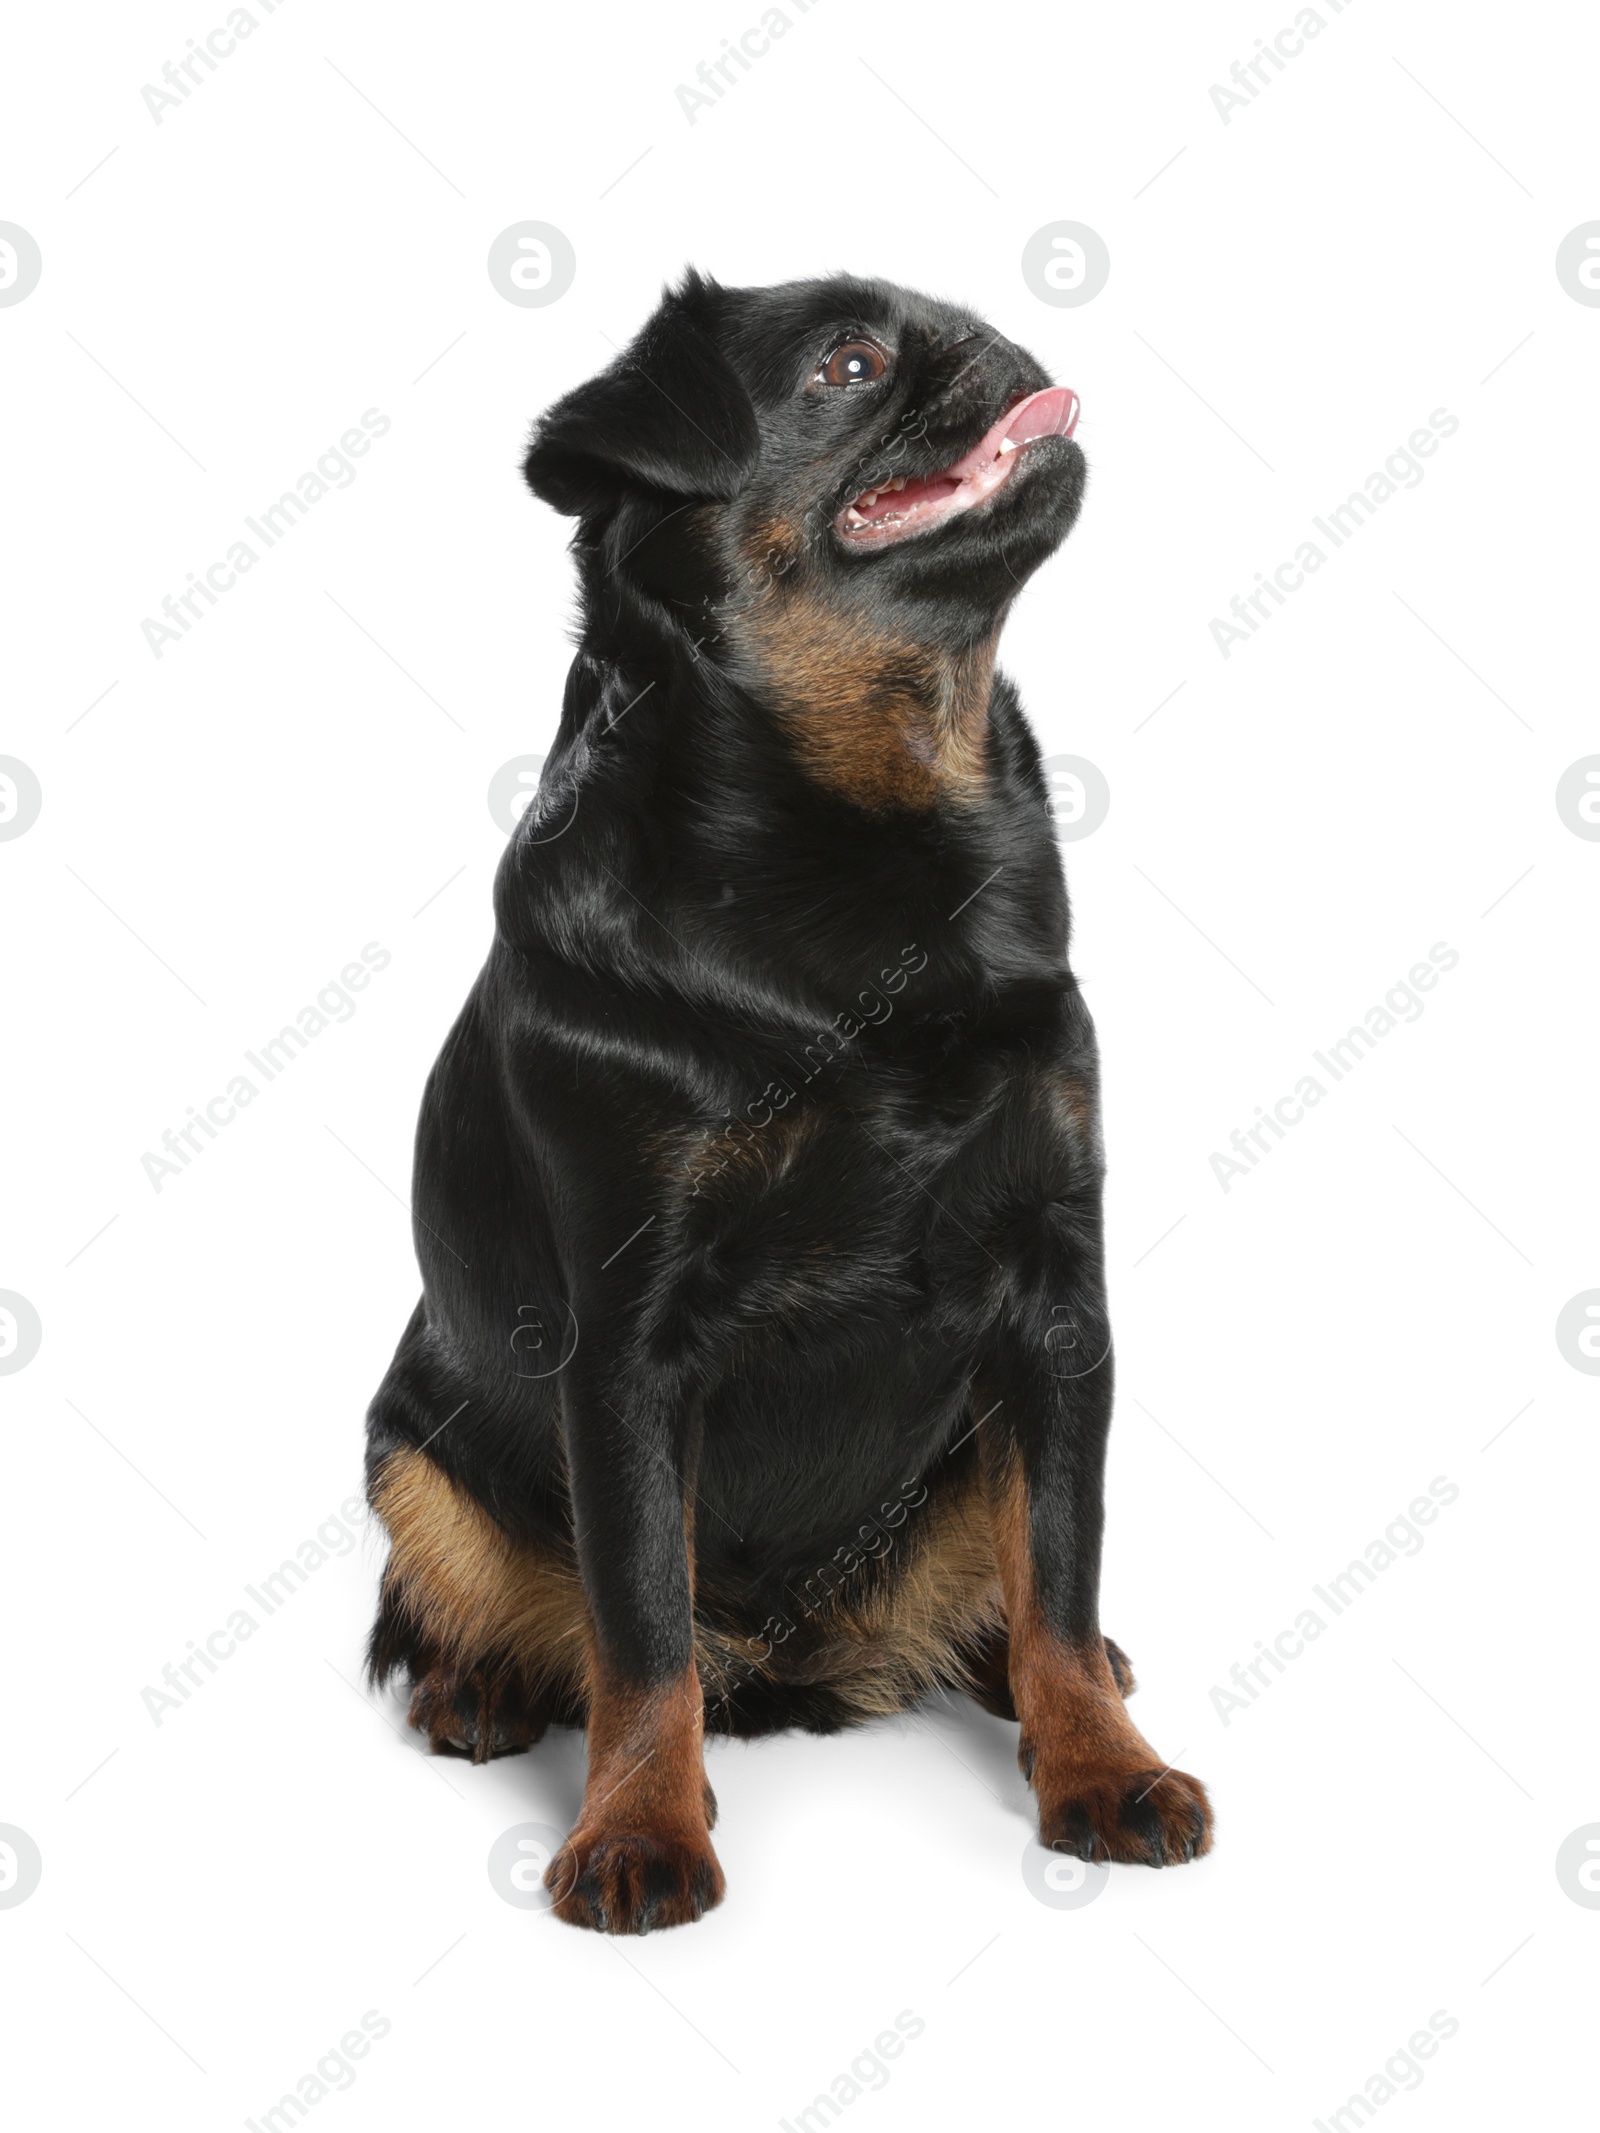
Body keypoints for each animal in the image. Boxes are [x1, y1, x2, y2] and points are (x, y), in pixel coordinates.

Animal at [362, 266, 1211, 1936]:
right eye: (851, 366)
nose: (991, 349)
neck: (871, 845)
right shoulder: (625, 1345)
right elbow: (640, 1623)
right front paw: (639, 1825)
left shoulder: (1057, 1301)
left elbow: (1061, 1557)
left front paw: (1100, 1761)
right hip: (408, 1448)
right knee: (496, 1604)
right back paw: (473, 1685)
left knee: (1017, 1586)